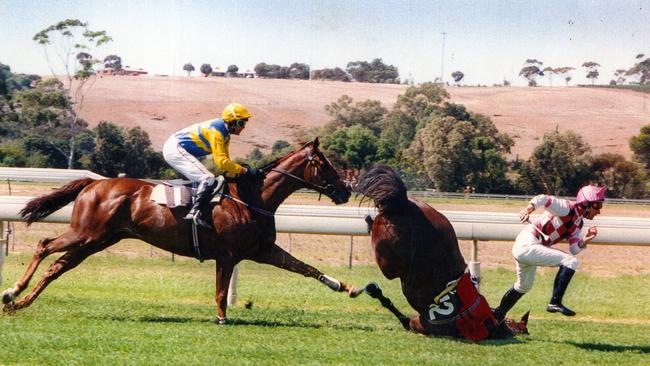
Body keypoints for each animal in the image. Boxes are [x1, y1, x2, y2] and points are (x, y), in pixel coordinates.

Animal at [1, 138, 360, 324]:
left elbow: (306, 268)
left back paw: (19, 303)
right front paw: (221, 318)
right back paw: (13, 292)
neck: (251, 197)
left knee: (58, 267)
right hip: (86, 233)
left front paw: (347, 287)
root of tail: (94, 182)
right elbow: (220, 291)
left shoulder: (262, 250)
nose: (345, 191)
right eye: (325, 164)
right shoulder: (228, 255)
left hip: (96, 240)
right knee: (45, 245)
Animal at [354, 166, 528, 340]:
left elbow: (402, 318)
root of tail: (403, 203)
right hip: (391, 262)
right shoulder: (422, 322)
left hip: (393, 259)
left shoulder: (421, 322)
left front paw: (374, 291)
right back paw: (368, 221)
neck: (491, 322)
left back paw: (369, 220)